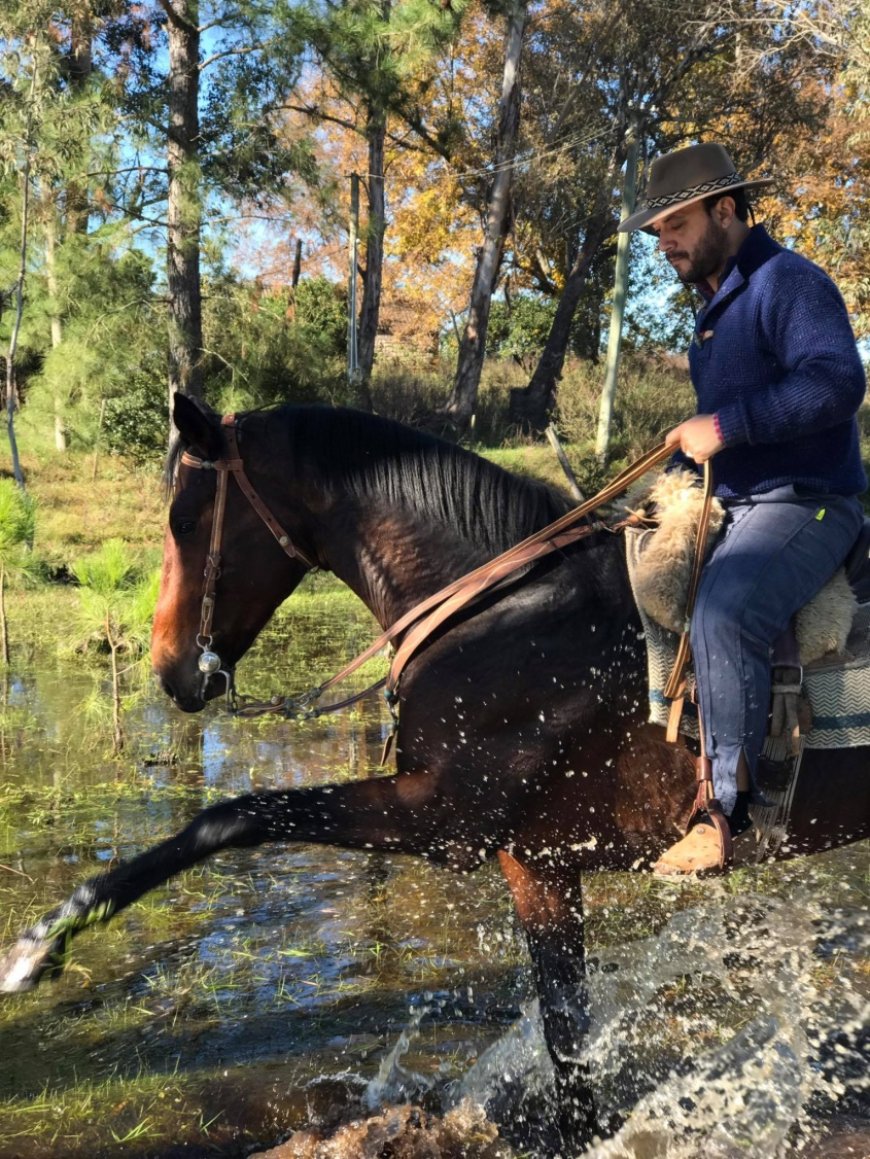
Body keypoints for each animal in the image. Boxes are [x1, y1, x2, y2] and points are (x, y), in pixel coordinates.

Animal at [1, 396, 870, 1149]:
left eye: (183, 519)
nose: (170, 669)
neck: (503, 612)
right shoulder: (537, 864)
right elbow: (567, 1037)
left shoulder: (439, 817)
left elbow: (231, 816)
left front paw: (43, 943)